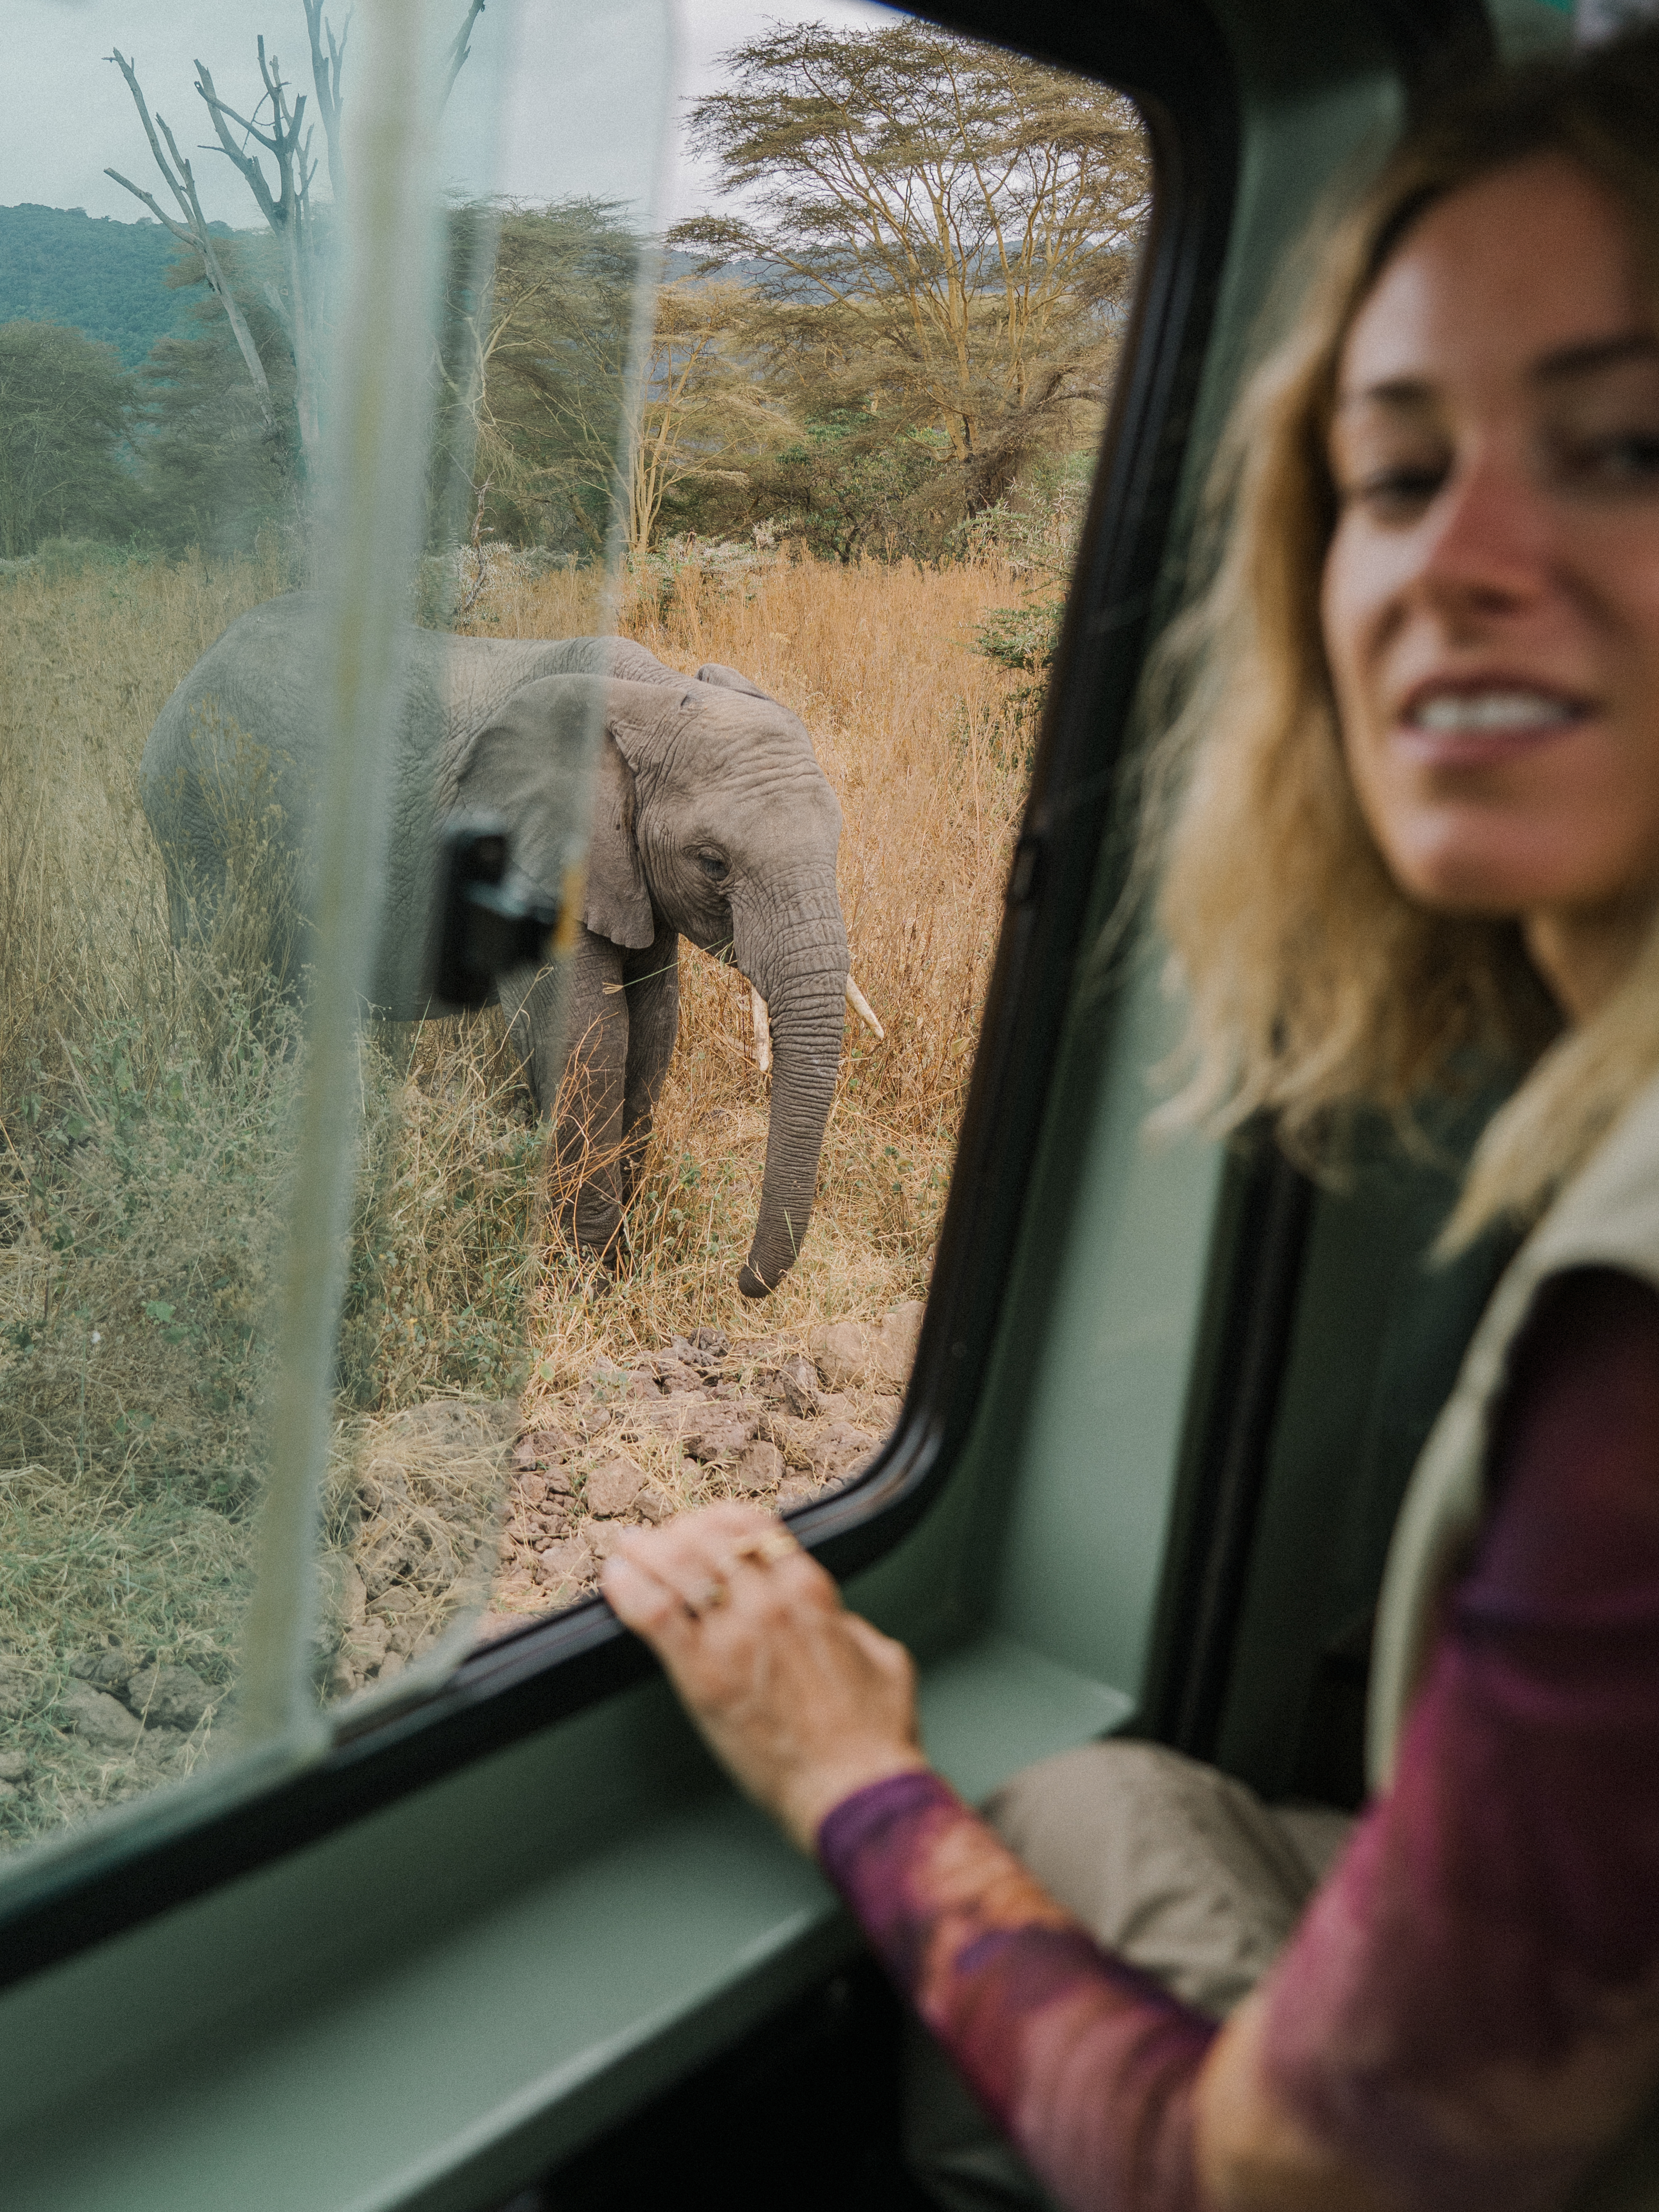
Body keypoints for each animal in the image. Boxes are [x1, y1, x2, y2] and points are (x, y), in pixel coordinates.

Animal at [139, 590, 879, 1297]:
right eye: (713, 862)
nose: (744, 1282)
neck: (653, 697)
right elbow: (589, 1042)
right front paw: (590, 1283)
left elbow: (652, 1032)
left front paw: (622, 1262)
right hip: (200, 814)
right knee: (228, 974)